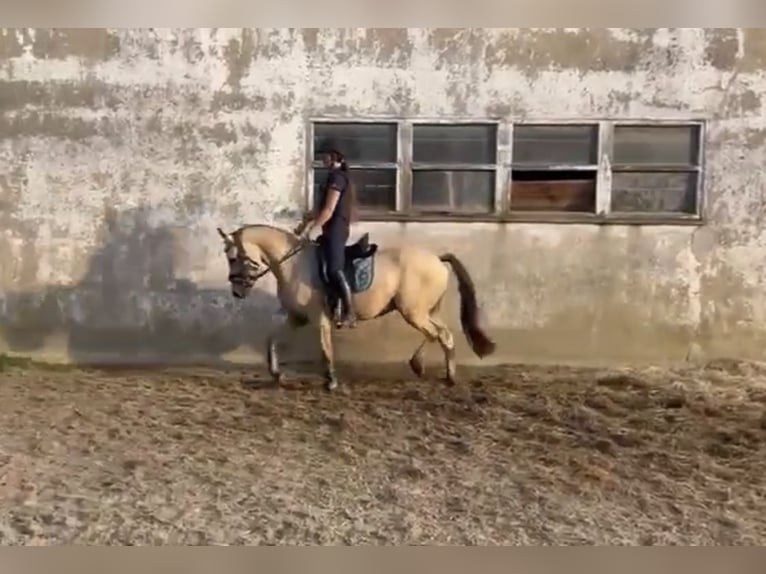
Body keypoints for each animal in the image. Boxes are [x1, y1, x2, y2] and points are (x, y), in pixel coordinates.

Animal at [218, 223, 498, 394]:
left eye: (233, 258)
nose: (237, 292)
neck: (294, 264)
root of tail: (437, 259)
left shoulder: (319, 317)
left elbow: (326, 349)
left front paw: (331, 381)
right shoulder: (297, 317)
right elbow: (273, 340)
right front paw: (277, 375)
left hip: (413, 312)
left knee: (438, 335)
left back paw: (428, 369)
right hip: (425, 311)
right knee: (442, 335)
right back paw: (440, 373)